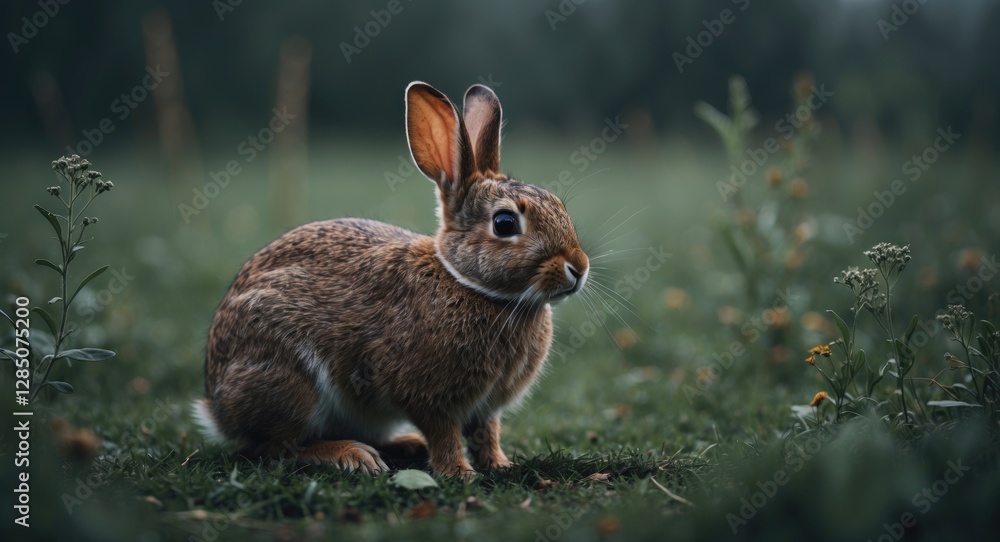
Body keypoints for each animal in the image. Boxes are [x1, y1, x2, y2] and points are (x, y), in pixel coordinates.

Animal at [192, 81, 589, 476]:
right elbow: (443, 433)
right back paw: (351, 455)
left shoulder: (486, 407)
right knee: (277, 448)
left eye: (560, 206)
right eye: (504, 224)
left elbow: (486, 432)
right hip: (289, 382)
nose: (579, 267)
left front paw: (500, 464)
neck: (467, 283)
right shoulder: (426, 395)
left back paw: (404, 445)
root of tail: (217, 408)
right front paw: (458, 473)